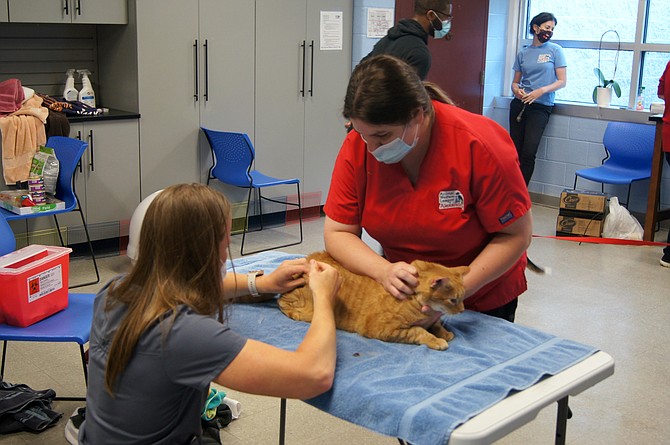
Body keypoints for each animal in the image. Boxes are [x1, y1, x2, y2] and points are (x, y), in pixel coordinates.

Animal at [276, 251, 468, 348]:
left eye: (462, 298)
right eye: (453, 300)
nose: (463, 310)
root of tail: (308, 260)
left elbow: (436, 324)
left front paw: (444, 332)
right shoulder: (382, 328)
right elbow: (418, 331)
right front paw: (437, 340)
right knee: (282, 303)